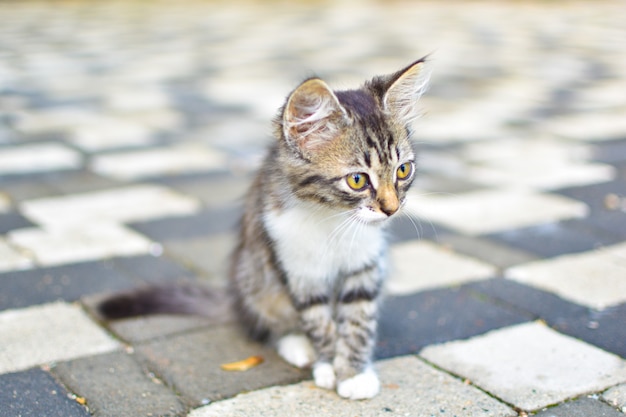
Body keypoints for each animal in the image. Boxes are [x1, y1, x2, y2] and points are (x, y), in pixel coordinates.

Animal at [98, 58, 428, 400]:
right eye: (358, 180)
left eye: (403, 170)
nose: (392, 208)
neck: (332, 217)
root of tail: (236, 302)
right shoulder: (297, 267)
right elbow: (318, 322)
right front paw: (327, 364)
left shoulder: (366, 265)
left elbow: (359, 322)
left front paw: (353, 373)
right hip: (256, 278)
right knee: (268, 324)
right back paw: (298, 345)